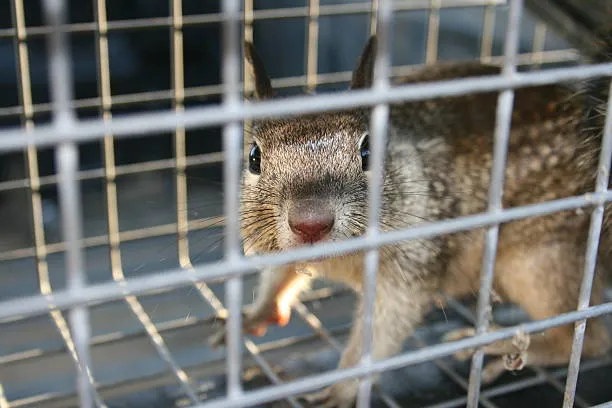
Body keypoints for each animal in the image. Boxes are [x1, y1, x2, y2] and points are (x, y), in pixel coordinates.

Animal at [208, 18, 612, 404]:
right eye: (254, 157)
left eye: (368, 151)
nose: (311, 223)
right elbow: (278, 275)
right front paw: (255, 314)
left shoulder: (412, 268)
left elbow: (380, 333)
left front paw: (340, 389)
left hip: (541, 262)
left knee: (587, 339)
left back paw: (500, 345)